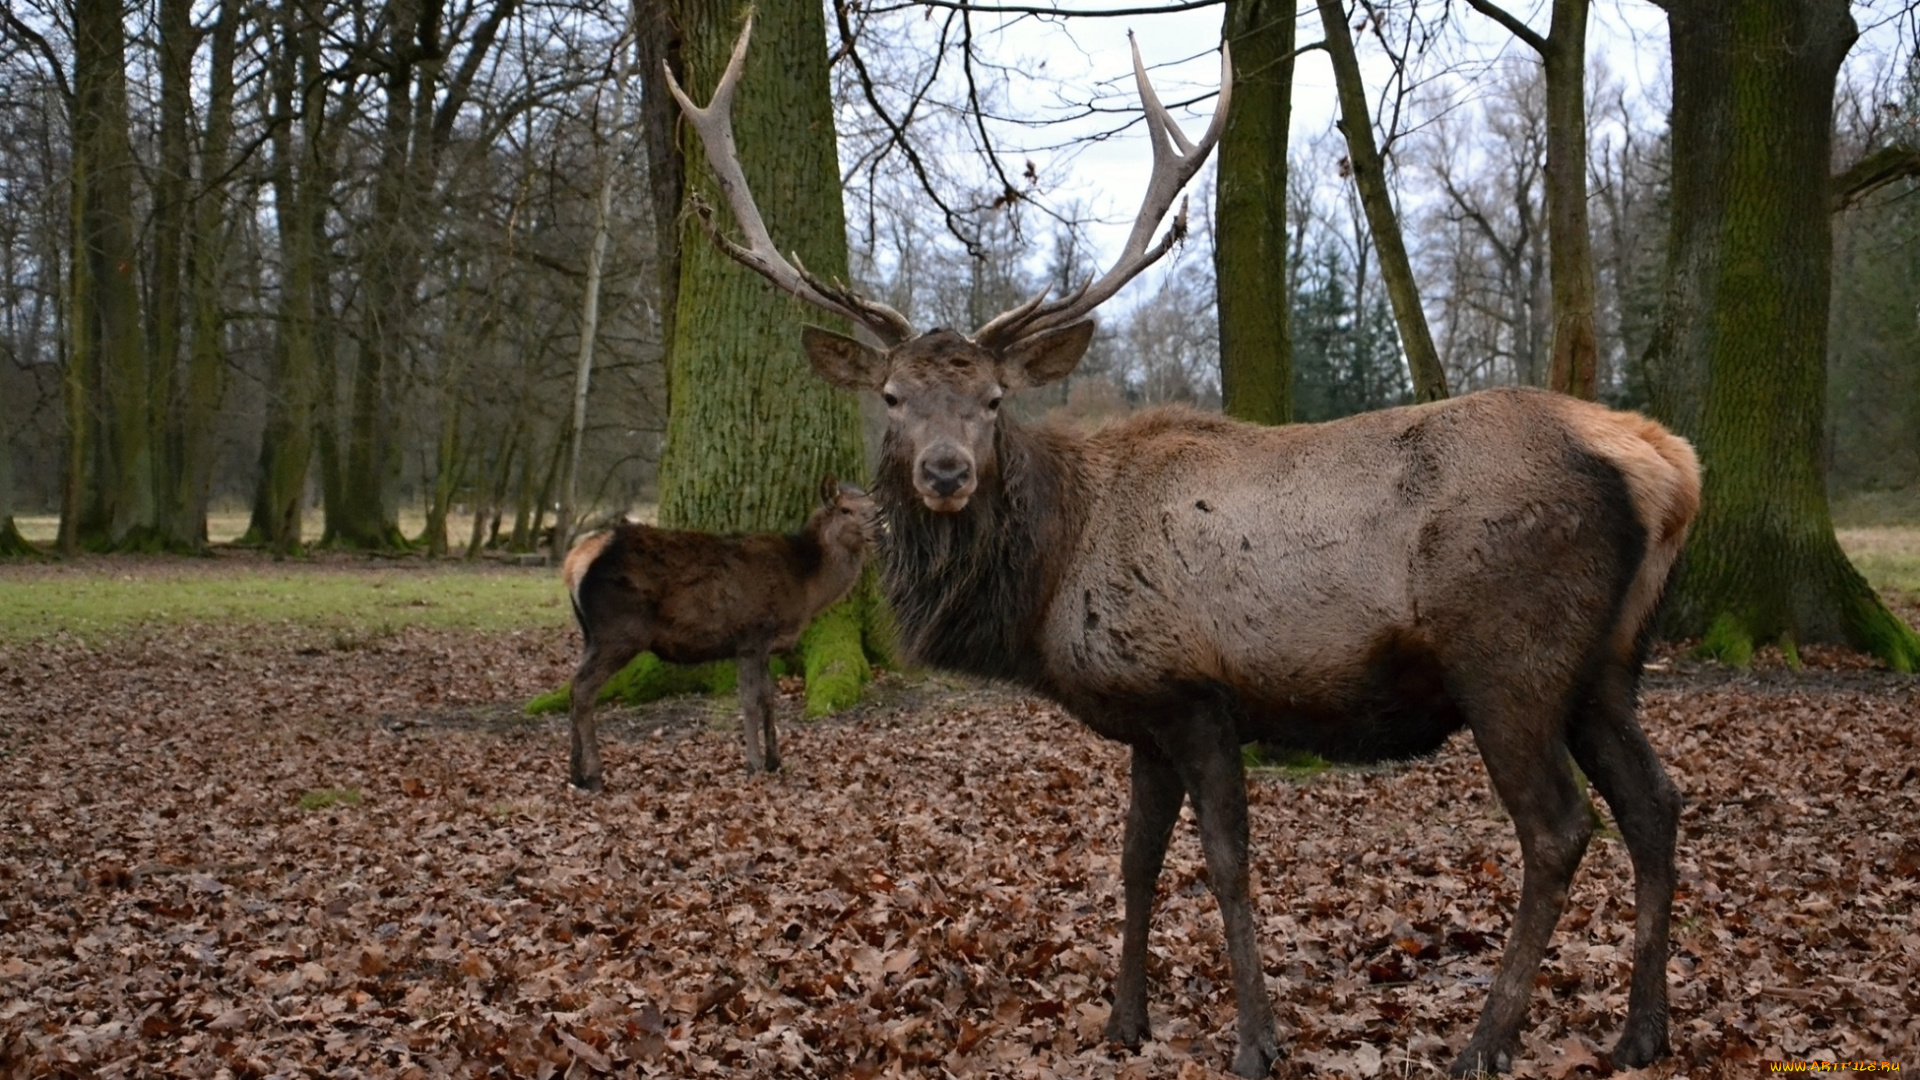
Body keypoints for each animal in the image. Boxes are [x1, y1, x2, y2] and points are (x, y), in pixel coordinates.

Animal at [560, 476, 875, 780]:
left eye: (874, 507)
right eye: (845, 510)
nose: (879, 530)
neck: (806, 587)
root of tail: (572, 563)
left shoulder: (765, 647)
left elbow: (769, 697)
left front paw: (775, 761)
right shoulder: (751, 637)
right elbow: (749, 700)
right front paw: (753, 765)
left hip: (592, 635)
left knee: (574, 687)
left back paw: (576, 772)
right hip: (619, 632)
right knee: (584, 690)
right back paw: (594, 773)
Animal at [672, 21, 1697, 1068]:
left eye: (993, 400)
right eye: (891, 397)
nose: (947, 472)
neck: (1049, 579)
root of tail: (1669, 466)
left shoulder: (1196, 692)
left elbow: (1227, 865)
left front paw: (1256, 1041)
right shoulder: (1144, 714)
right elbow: (1134, 863)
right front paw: (1125, 1023)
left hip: (1509, 656)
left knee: (1561, 827)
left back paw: (1489, 1040)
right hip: (1606, 666)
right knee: (1656, 806)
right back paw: (1641, 1033)